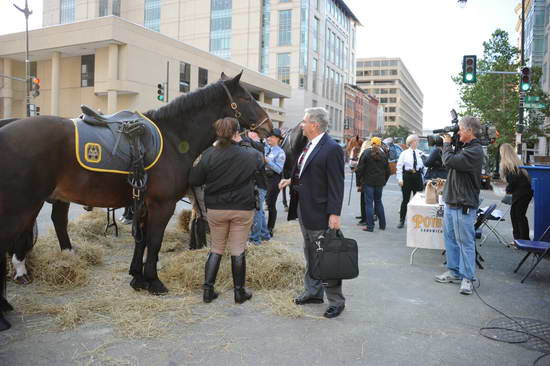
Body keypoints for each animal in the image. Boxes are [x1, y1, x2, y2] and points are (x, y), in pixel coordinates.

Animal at [0, 72, 272, 332]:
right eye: (248, 98)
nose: (269, 127)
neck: (173, 138)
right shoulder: (162, 205)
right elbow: (153, 242)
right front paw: (154, 281)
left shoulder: (143, 204)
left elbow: (140, 241)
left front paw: (138, 278)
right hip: (22, 207)